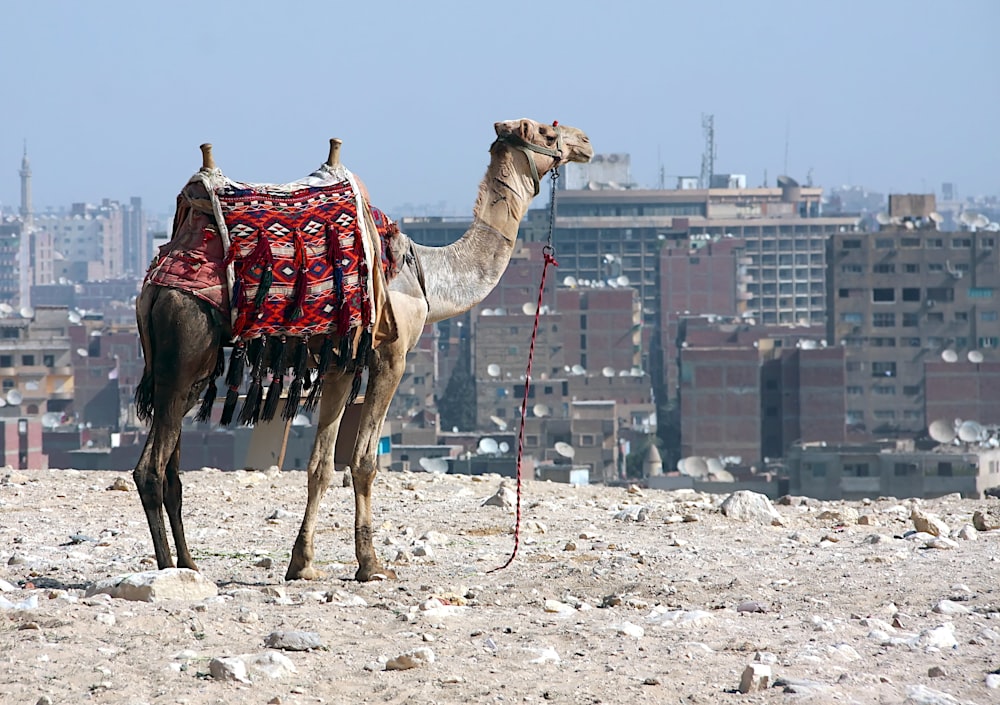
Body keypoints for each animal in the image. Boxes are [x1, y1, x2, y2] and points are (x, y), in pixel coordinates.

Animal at [129, 118, 588, 580]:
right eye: (548, 133)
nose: (584, 142)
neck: (427, 276)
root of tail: (153, 287)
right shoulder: (392, 356)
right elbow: (363, 462)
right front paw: (370, 564)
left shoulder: (341, 363)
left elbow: (320, 465)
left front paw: (302, 564)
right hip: (185, 343)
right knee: (149, 470)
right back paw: (167, 569)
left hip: (188, 371)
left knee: (172, 471)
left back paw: (189, 564)